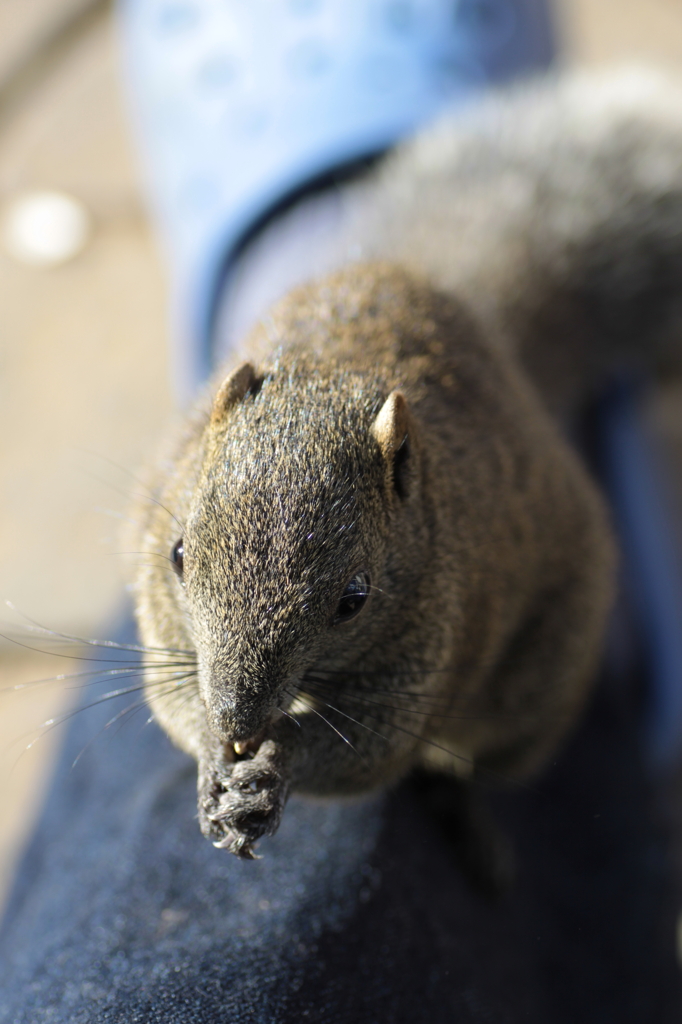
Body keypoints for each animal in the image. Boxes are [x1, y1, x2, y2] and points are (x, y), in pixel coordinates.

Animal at [125, 68, 679, 860]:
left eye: (353, 599)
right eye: (177, 555)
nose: (237, 721)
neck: (342, 371)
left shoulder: (433, 641)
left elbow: (368, 751)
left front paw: (271, 773)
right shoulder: (159, 599)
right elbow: (171, 692)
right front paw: (207, 749)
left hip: (536, 688)